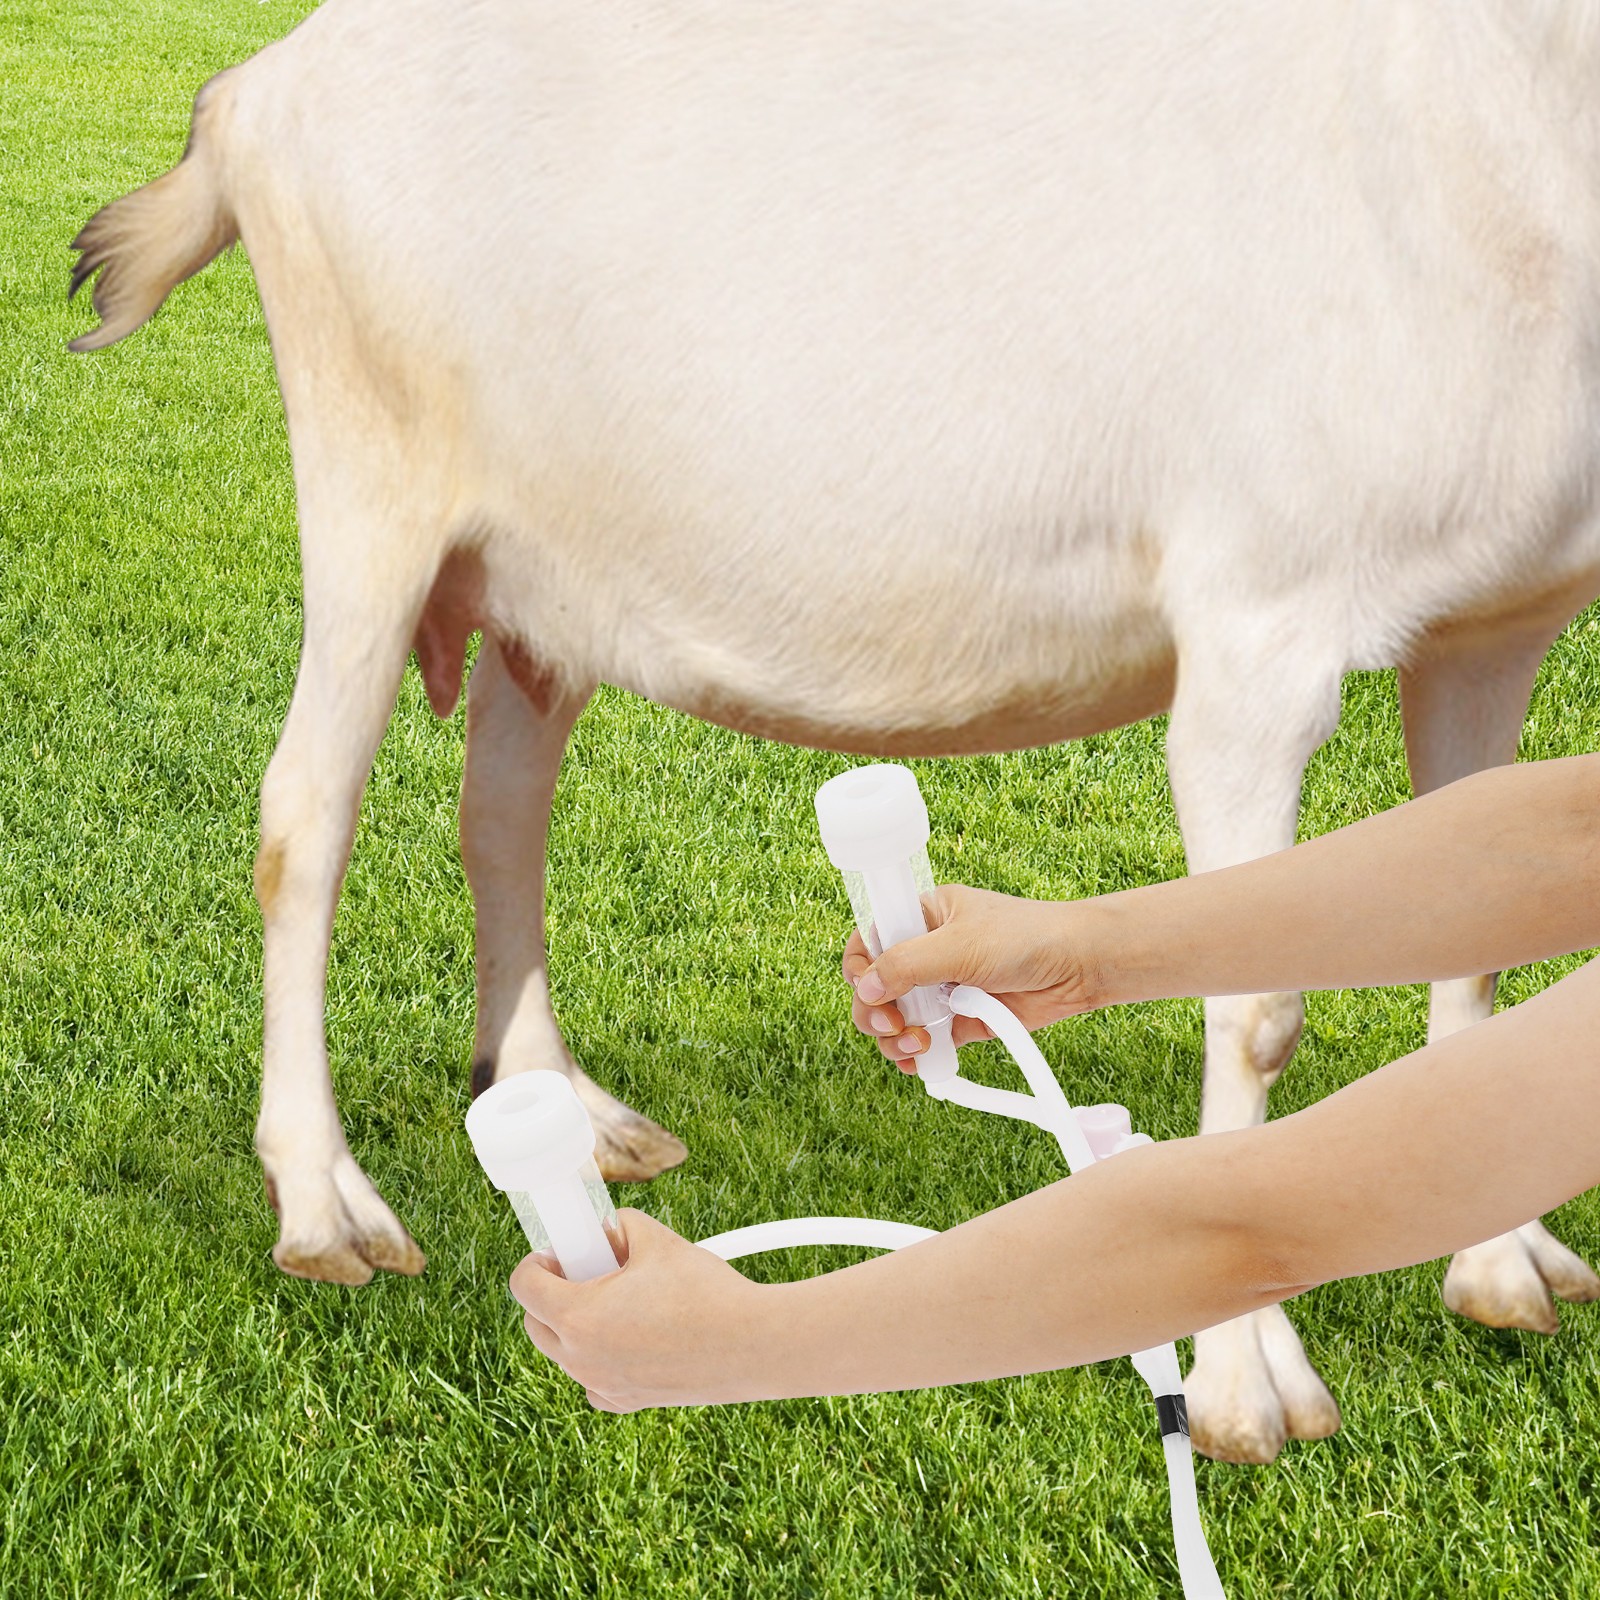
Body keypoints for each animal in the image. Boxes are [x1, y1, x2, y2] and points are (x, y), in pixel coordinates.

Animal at [69, 0, 1600, 1462]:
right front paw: (1246, 1386)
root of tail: (254, 88)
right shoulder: (1257, 619)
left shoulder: (1496, 621)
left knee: (499, 809)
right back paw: (324, 1203)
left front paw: (1503, 1264)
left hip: (540, 560)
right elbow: (1261, 1004)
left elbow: (1477, 920)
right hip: (369, 475)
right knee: (302, 820)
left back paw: (566, 1106)